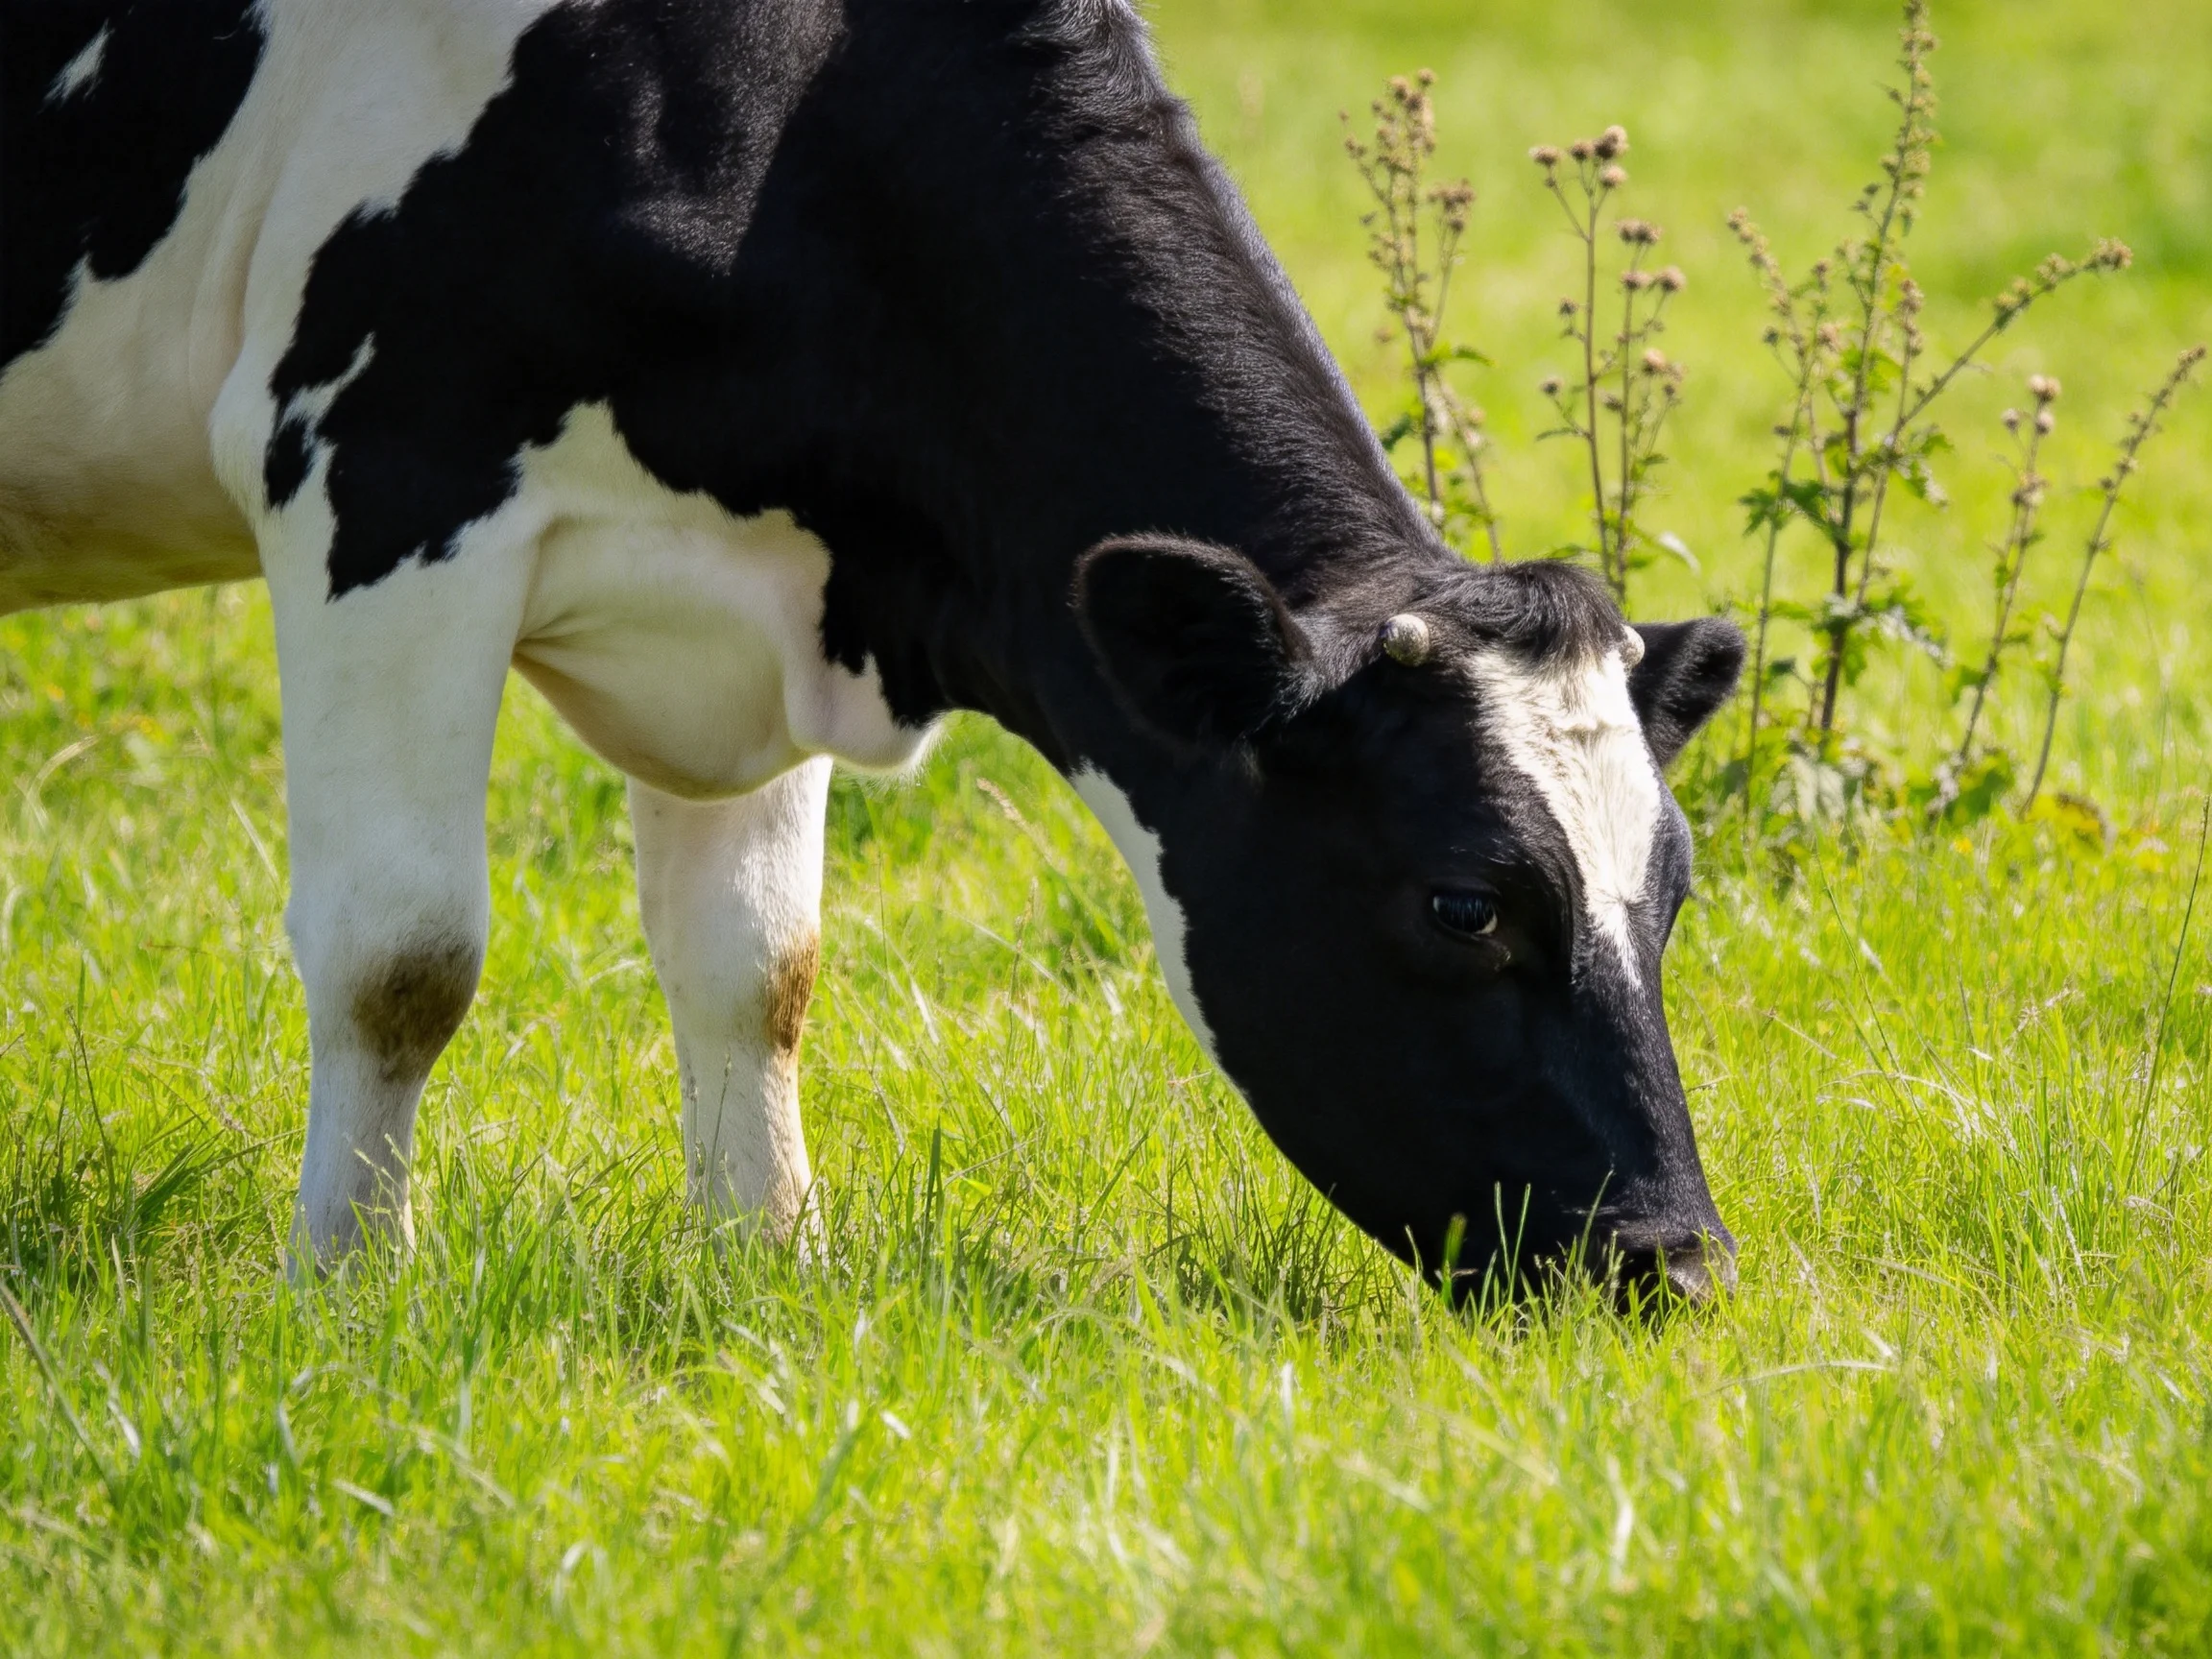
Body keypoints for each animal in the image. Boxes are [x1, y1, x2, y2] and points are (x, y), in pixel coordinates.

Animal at [1, 0, 1745, 1298]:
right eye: (1462, 904)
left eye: (1669, 890)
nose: (1678, 1265)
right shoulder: (383, 466)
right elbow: (402, 955)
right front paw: (352, 1283)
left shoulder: (762, 592)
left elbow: (756, 961)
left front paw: (763, 1262)